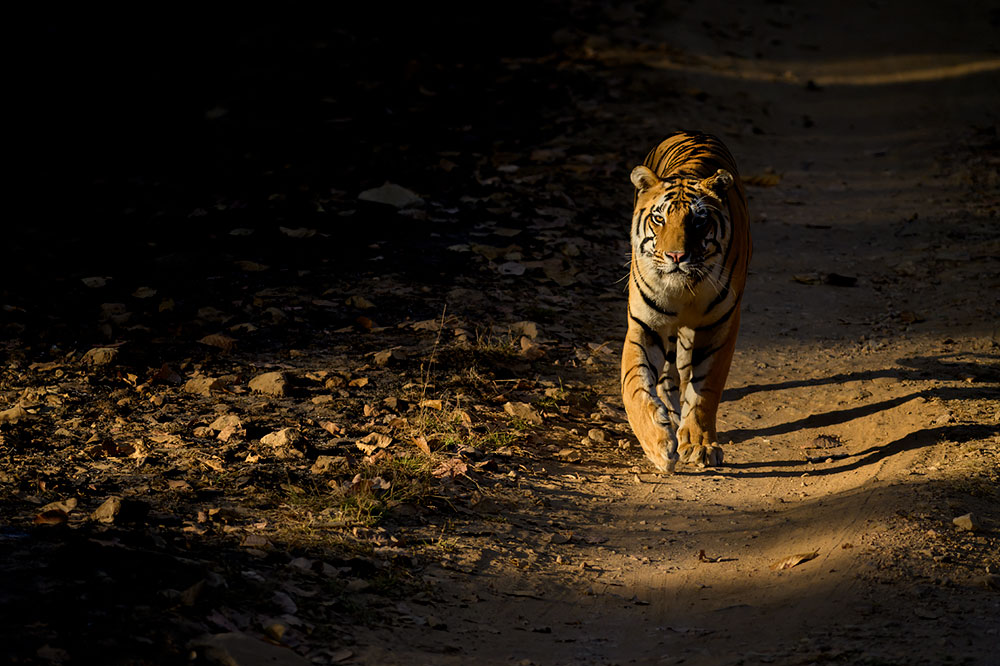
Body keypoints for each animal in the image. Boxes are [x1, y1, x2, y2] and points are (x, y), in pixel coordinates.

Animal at [621, 131, 751, 473]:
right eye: (658, 219)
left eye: (698, 221)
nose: (675, 256)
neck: (684, 290)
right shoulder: (644, 325)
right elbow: (634, 385)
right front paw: (657, 444)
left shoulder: (720, 325)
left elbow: (705, 387)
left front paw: (700, 443)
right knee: (667, 376)